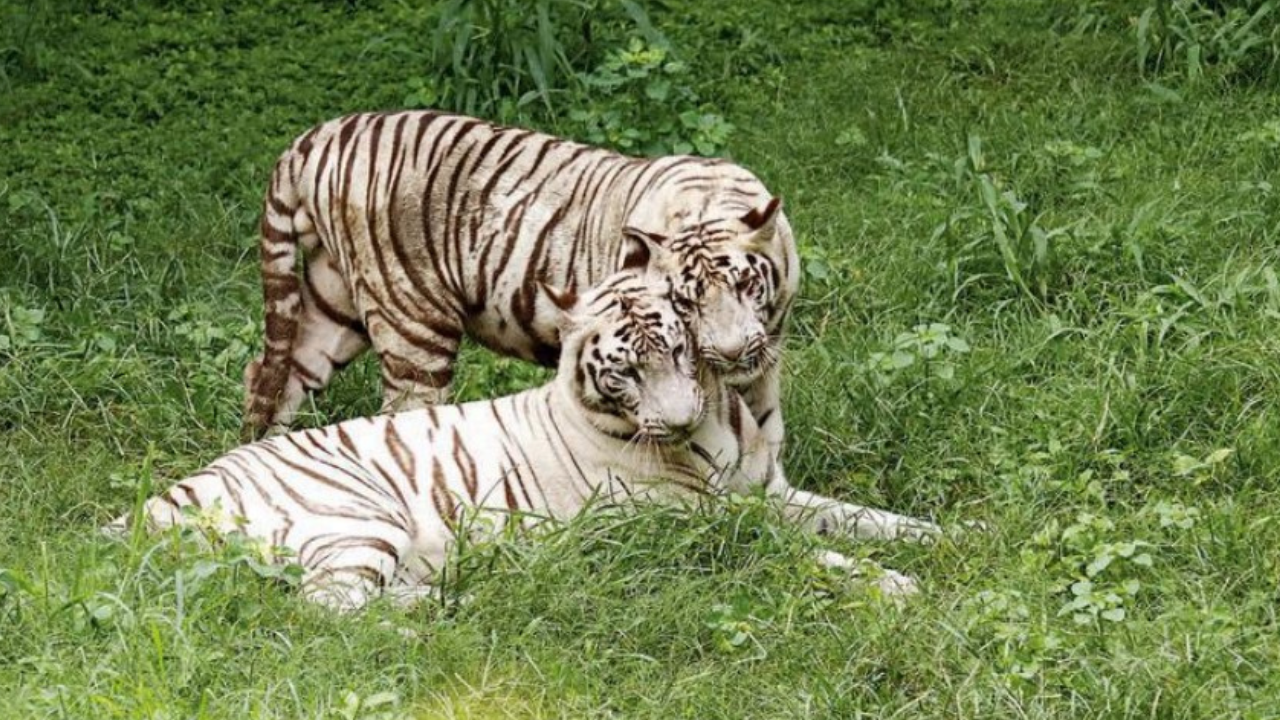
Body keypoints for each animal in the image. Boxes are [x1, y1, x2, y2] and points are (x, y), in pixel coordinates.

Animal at [117, 271, 942, 607]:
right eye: (625, 372)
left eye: (678, 350)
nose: (677, 419)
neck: (710, 427)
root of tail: (162, 499)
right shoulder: (699, 525)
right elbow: (805, 552)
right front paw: (898, 586)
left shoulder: (768, 492)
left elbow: (864, 519)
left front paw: (944, 537)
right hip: (357, 520)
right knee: (324, 609)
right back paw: (428, 617)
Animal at [240, 109, 793, 476]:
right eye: (685, 301)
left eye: (745, 285)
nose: (730, 353)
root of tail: (320, 136)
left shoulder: (767, 354)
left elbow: (765, 426)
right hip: (413, 324)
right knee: (401, 412)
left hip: (335, 307)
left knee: (271, 375)